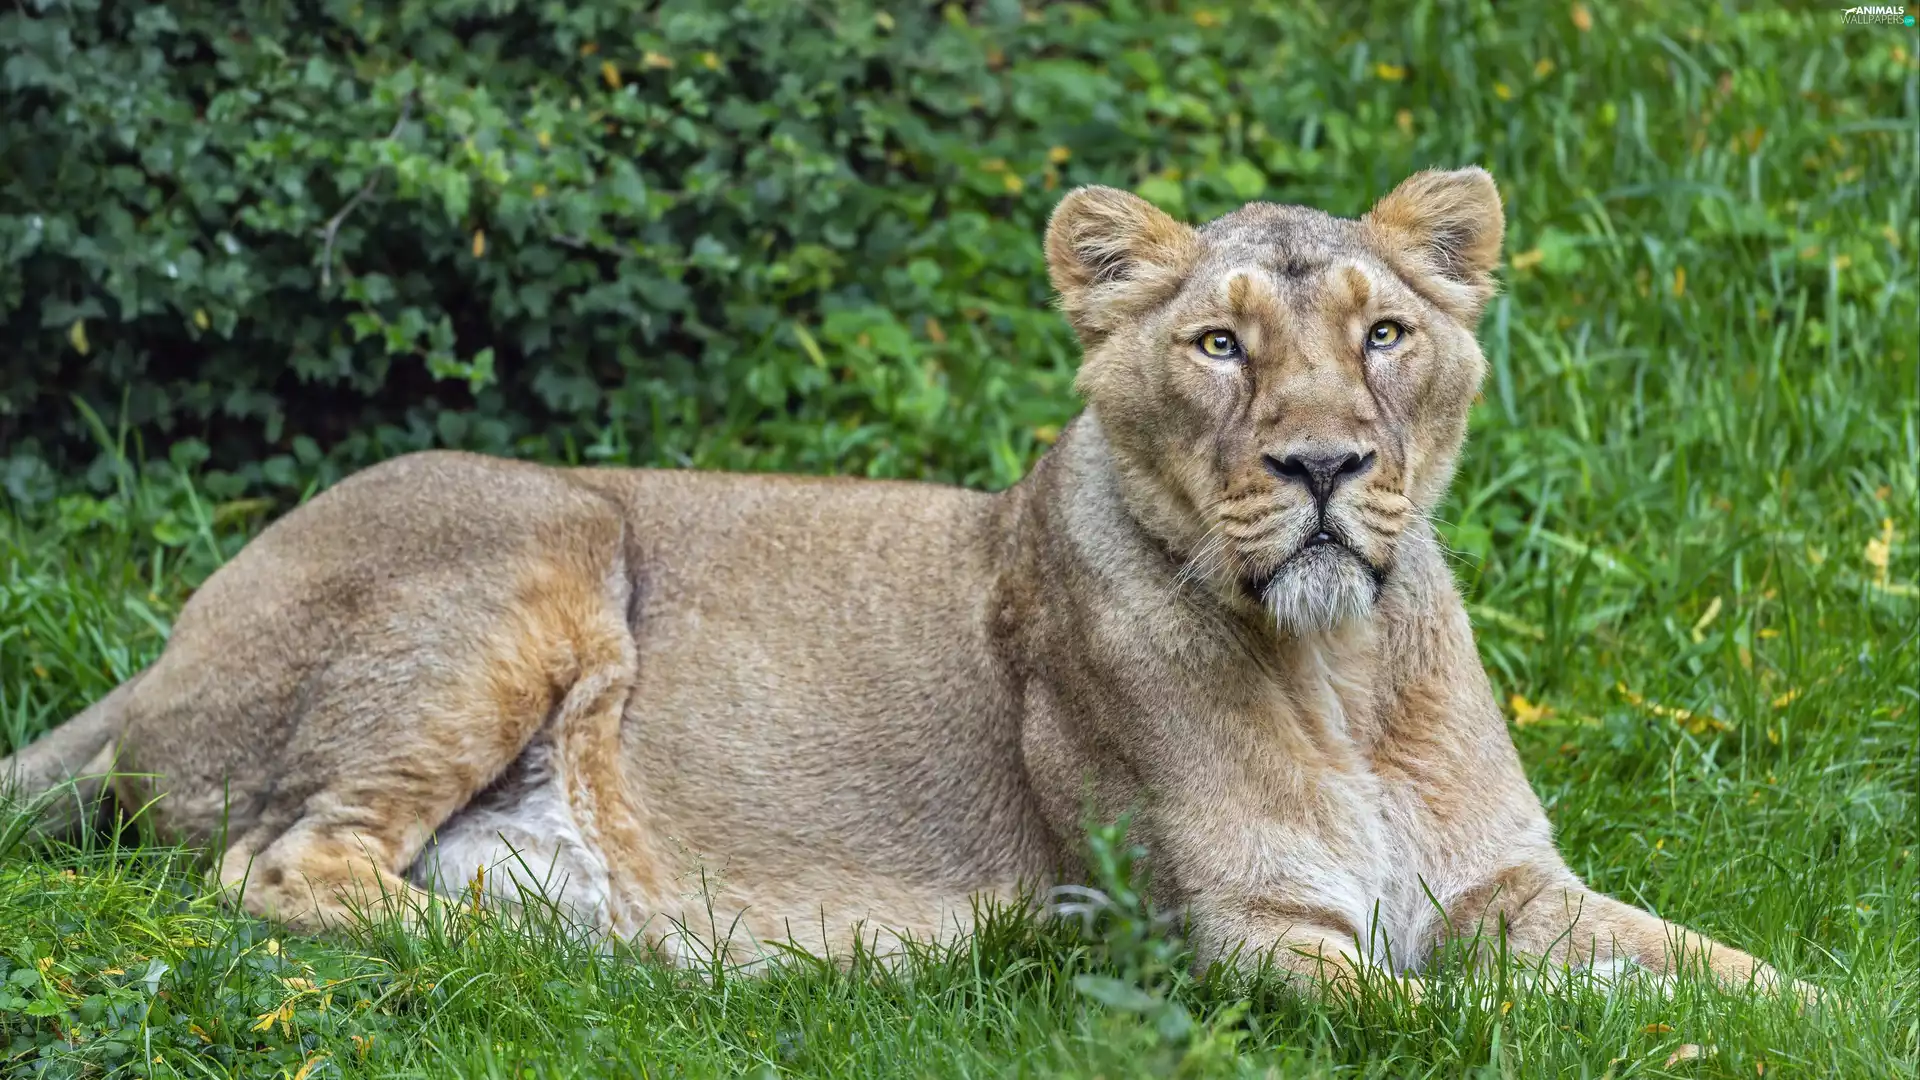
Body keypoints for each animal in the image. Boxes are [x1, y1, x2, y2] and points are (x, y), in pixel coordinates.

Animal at [3, 168, 1805, 1000]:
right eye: (1220, 347)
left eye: (1383, 335)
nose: (1320, 466)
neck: (1344, 671)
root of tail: (160, 651)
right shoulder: (1243, 933)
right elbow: (1443, 1033)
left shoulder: (1508, 894)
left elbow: (1733, 979)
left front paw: (1815, 1008)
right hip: (540, 530)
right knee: (287, 868)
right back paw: (665, 962)